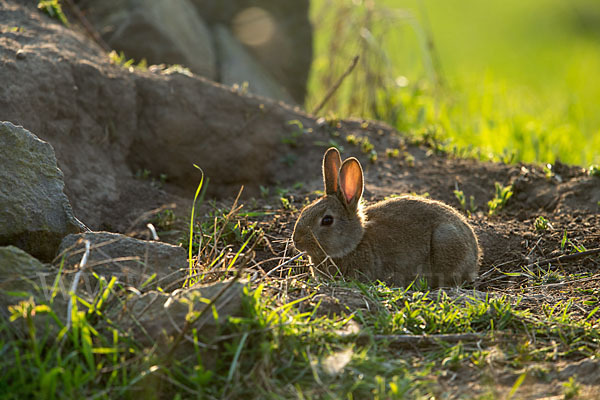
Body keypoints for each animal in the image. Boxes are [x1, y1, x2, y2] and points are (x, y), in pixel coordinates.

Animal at [292, 147, 480, 288]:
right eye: (305, 210)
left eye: (327, 220)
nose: (296, 240)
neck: (356, 242)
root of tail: (475, 254)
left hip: (445, 239)